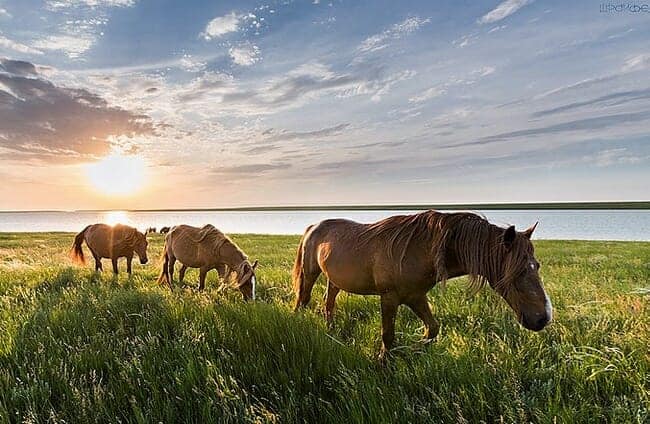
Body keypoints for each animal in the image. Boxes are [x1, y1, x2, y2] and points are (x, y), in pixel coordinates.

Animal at [294, 210, 552, 360]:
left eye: (536, 266)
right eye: (517, 272)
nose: (543, 318)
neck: (419, 250)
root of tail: (314, 226)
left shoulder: (416, 297)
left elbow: (432, 329)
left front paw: (412, 351)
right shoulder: (390, 297)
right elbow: (388, 336)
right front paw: (383, 362)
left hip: (334, 280)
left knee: (328, 303)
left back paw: (331, 330)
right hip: (310, 274)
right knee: (303, 299)